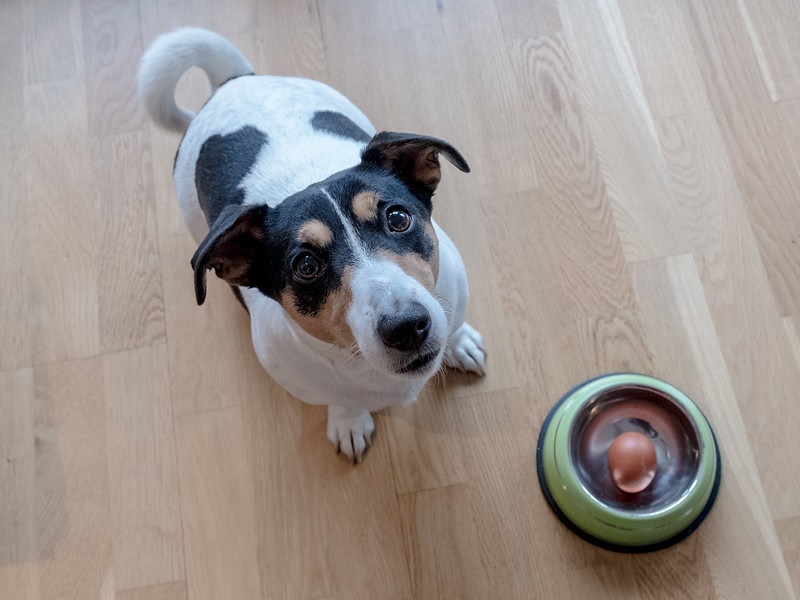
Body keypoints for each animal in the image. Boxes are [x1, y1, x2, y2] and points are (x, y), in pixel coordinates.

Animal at [138, 28, 484, 464]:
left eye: (398, 218)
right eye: (305, 266)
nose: (407, 326)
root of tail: (232, 82)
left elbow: (454, 324)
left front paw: (459, 342)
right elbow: (341, 402)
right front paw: (349, 421)